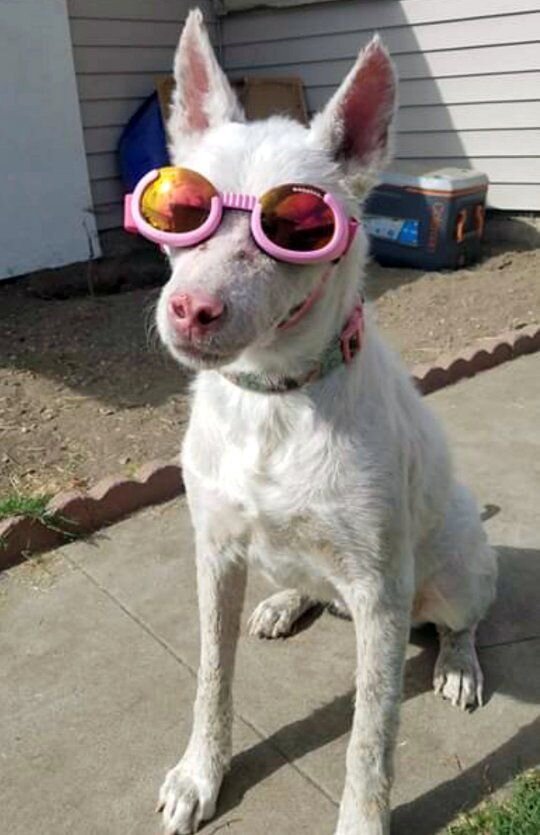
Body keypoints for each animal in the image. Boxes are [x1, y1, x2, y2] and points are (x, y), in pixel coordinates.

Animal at [152, 10, 497, 834]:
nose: (191, 310)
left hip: (457, 572)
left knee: (463, 618)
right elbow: (211, 679)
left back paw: (458, 663)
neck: (274, 400)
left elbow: (371, 736)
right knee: (302, 580)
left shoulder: (380, 592)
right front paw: (200, 775)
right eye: (181, 209)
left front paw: (362, 821)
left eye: (298, 226)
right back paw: (286, 601)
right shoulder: (214, 553)